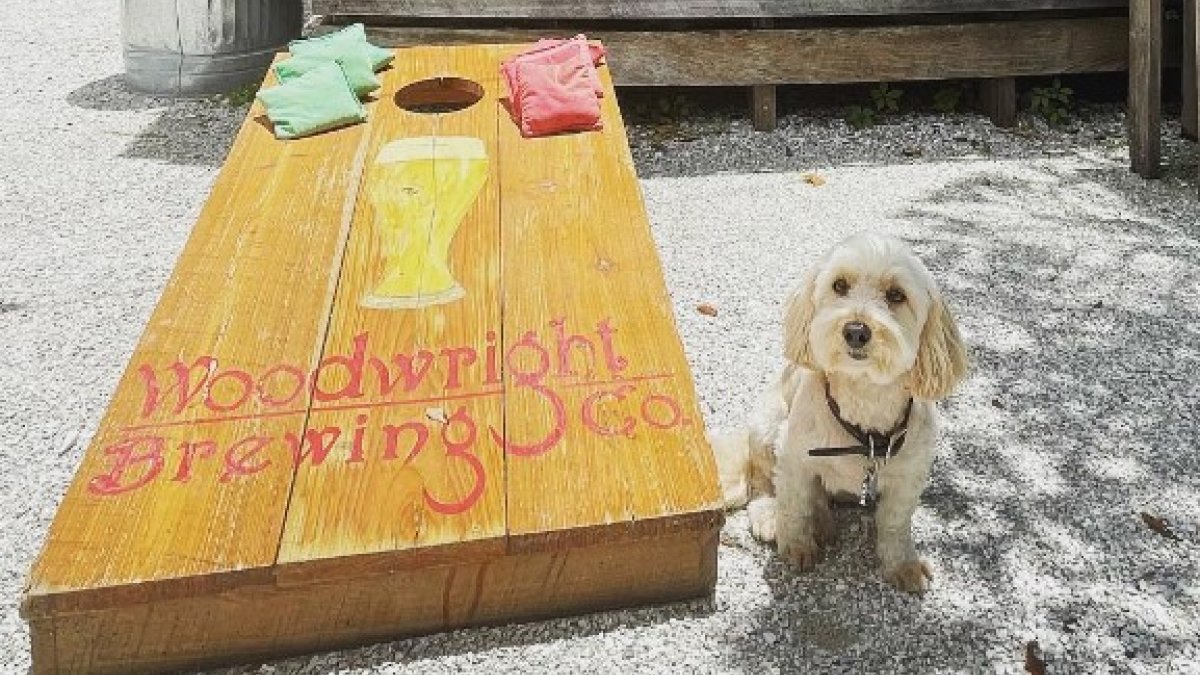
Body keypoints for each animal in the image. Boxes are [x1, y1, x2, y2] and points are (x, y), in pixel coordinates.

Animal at [705, 234, 969, 590]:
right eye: (840, 285)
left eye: (896, 295)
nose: (856, 330)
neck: (865, 413)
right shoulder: (793, 458)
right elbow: (795, 505)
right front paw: (797, 545)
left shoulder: (910, 476)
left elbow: (896, 524)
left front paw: (903, 565)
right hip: (767, 424)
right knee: (762, 481)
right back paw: (777, 517)